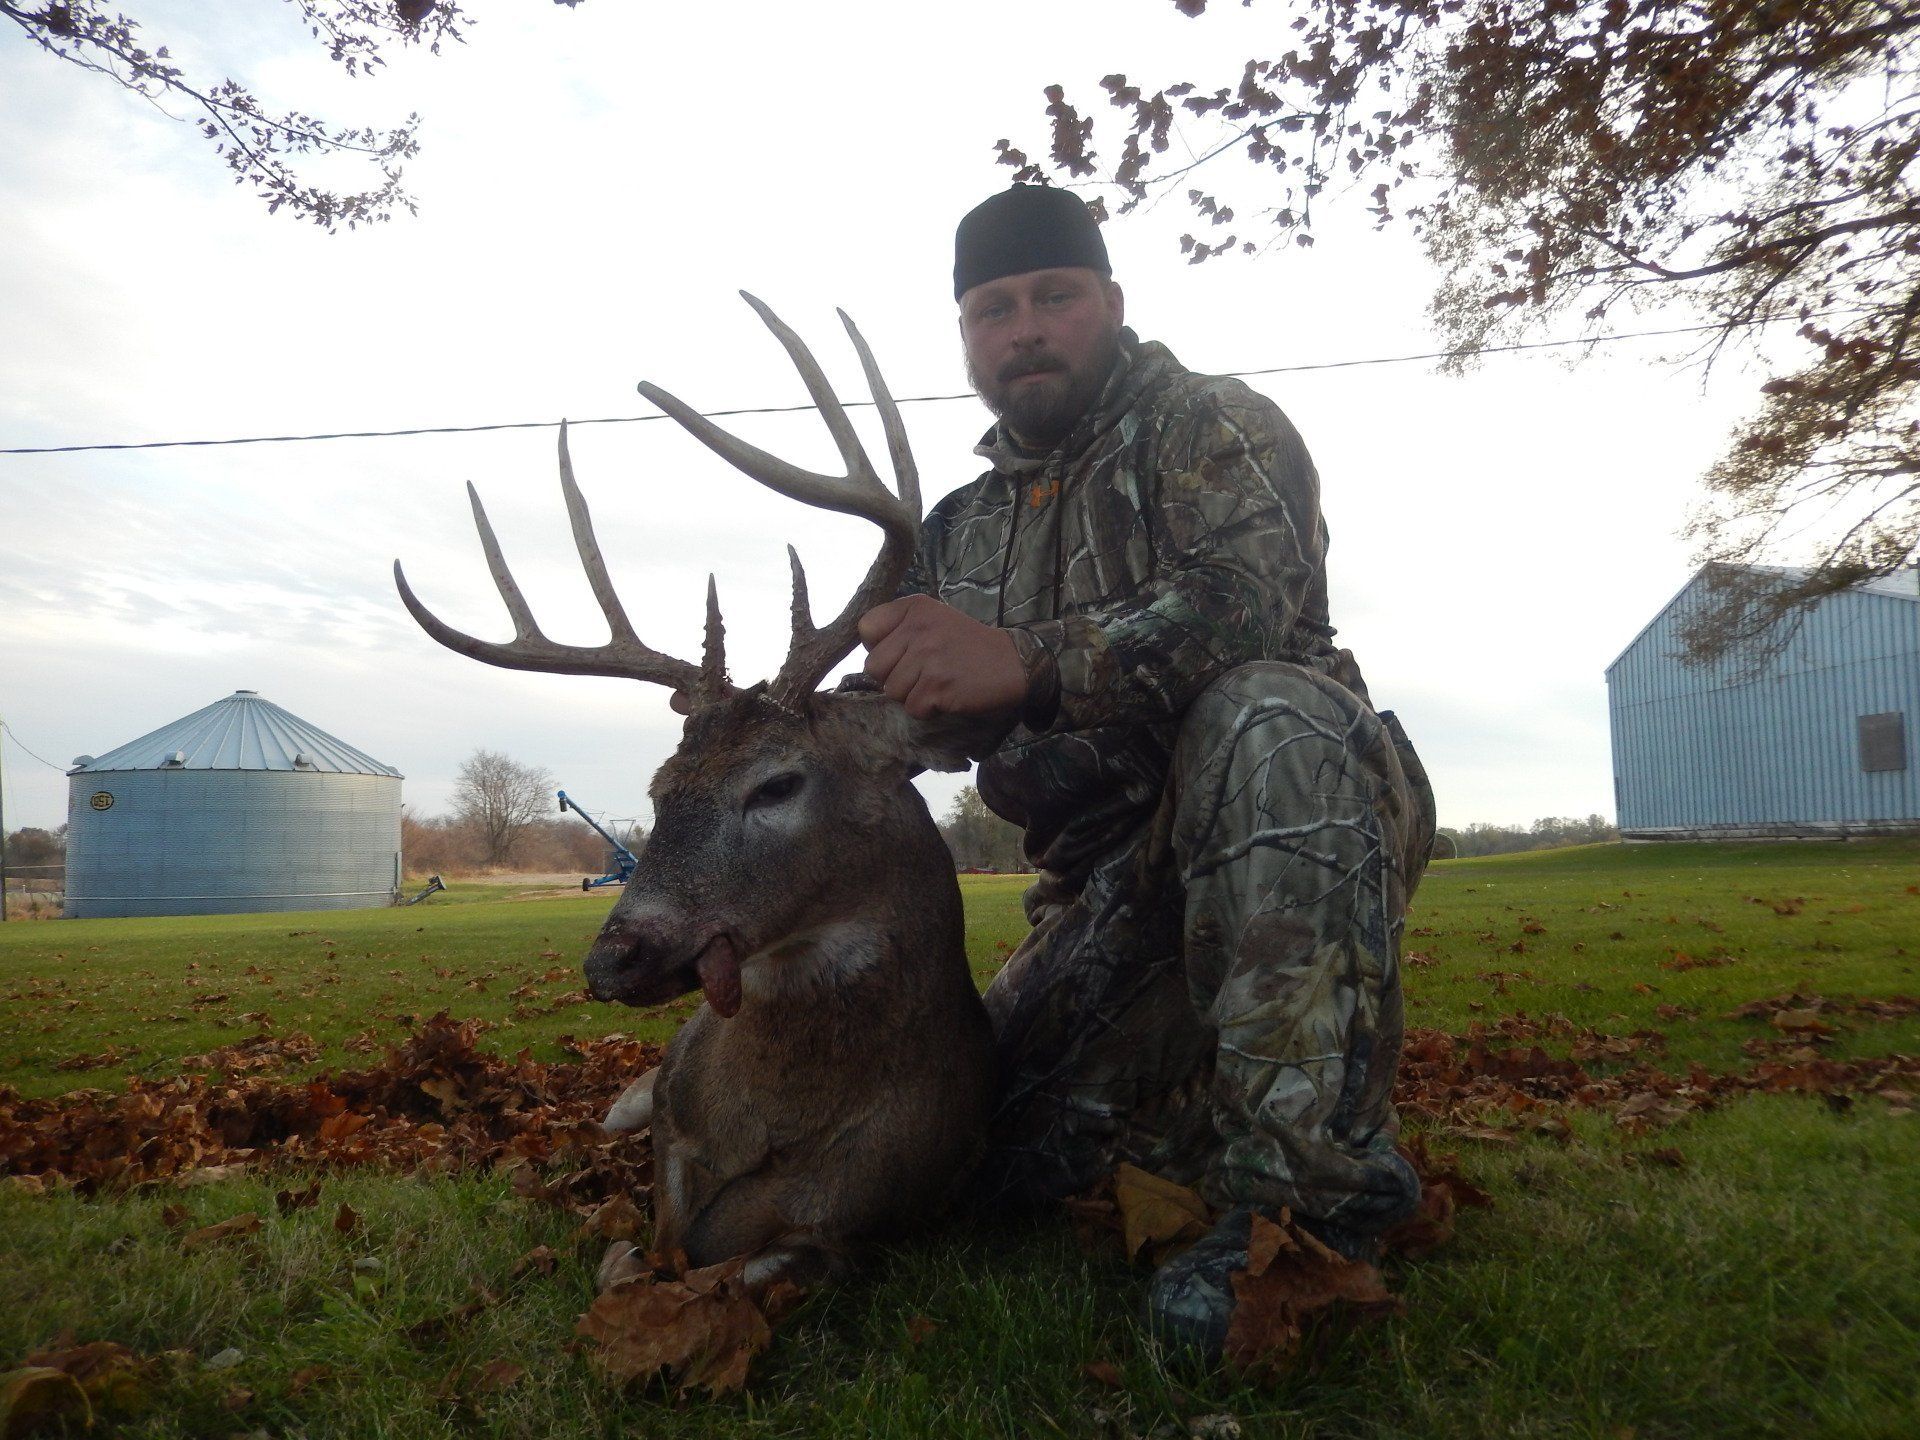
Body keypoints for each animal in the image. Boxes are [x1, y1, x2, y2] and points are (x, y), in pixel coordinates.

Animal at [394, 296, 1000, 1295]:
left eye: (778, 783)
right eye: (660, 788)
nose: (612, 959)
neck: (773, 1123)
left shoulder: (869, 1229)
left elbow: (733, 1270)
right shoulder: (672, 1127)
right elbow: (645, 1256)